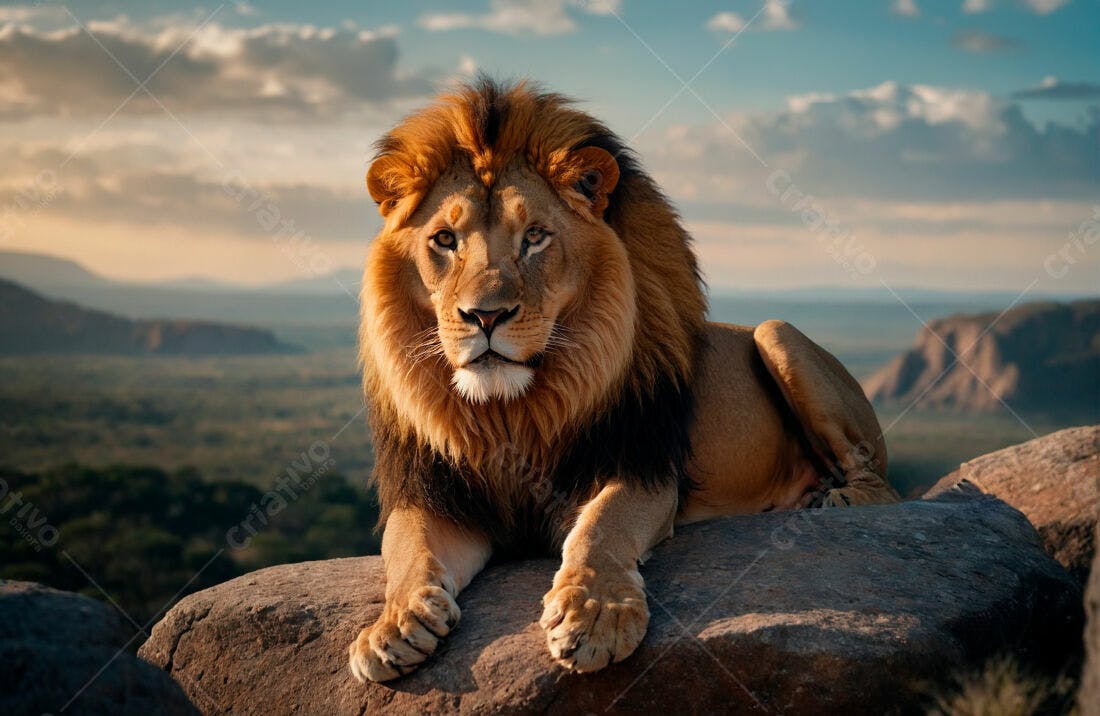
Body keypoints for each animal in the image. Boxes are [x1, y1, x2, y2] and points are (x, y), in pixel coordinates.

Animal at [348, 78, 899, 683]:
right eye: (445, 240)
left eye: (535, 237)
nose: (485, 316)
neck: (512, 412)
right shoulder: (439, 497)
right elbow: (409, 551)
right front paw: (393, 625)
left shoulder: (643, 467)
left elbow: (601, 527)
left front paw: (595, 615)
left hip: (777, 334)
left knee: (882, 483)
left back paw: (833, 500)